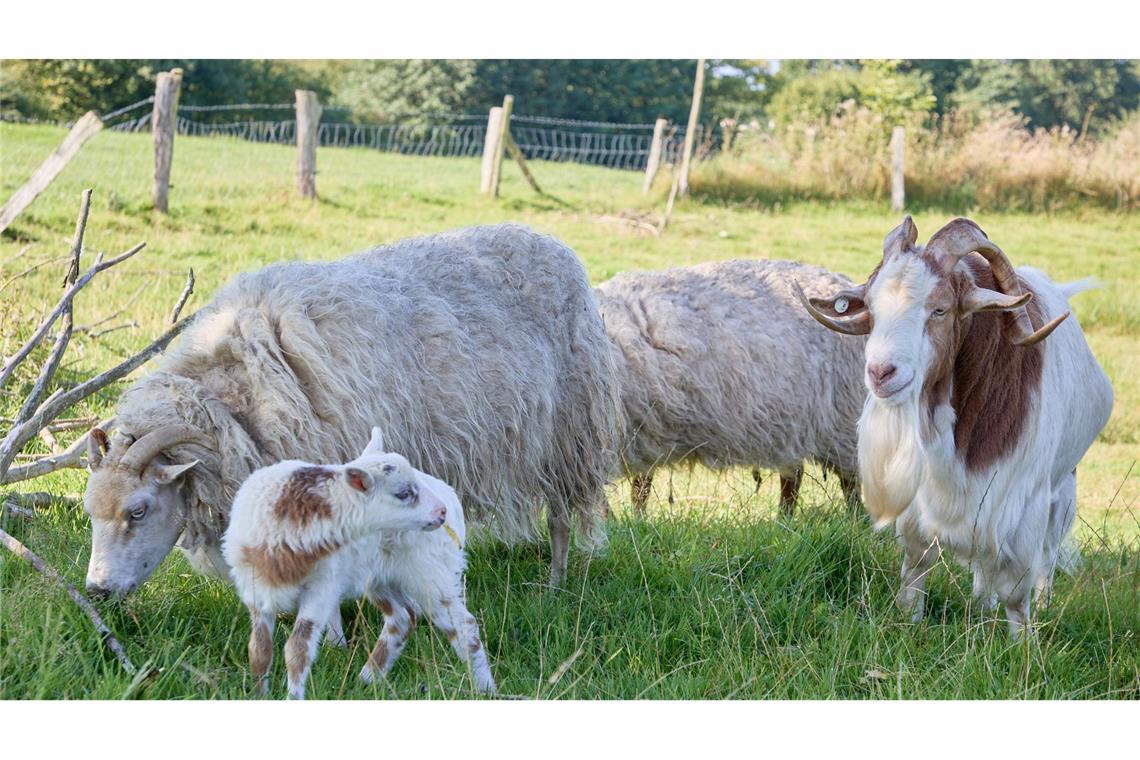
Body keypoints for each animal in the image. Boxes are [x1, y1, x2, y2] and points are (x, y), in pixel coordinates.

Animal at [222, 428, 494, 701]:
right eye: (404, 494)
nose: (440, 512)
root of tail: (451, 497)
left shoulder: (322, 589)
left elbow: (297, 650)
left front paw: (293, 698)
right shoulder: (254, 591)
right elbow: (259, 650)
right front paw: (258, 696)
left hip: (429, 571)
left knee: (463, 626)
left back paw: (485, 688)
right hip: (380, 577)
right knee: (402, 618)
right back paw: (367, 680)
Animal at [592, 259, 866, 517]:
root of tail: (841, 280)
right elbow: (638, 488)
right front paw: (634, 521)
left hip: (842, 417)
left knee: (850, 481)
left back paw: (854, 519)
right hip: (793, 422)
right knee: (793, 475)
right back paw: (784, 521)